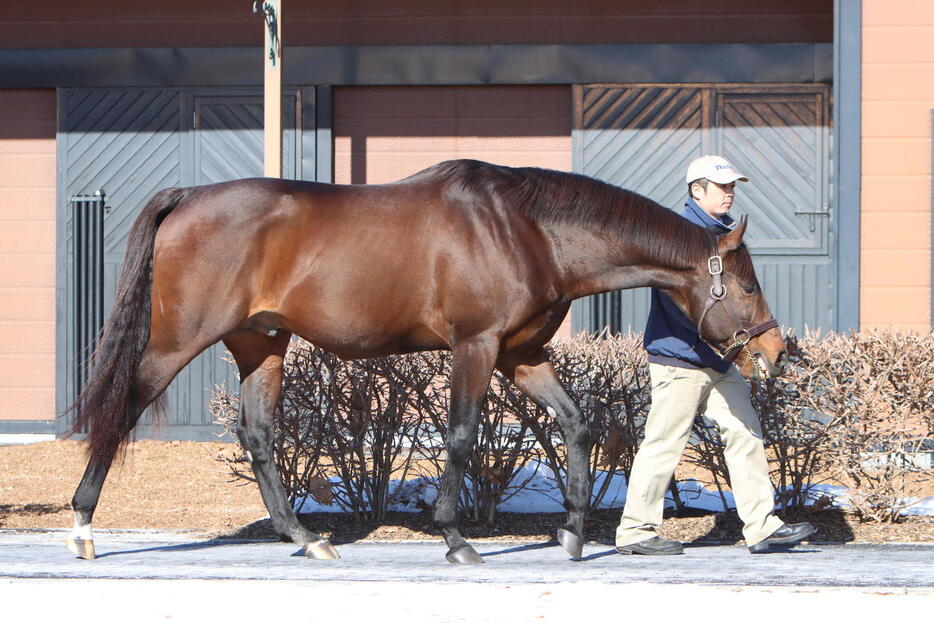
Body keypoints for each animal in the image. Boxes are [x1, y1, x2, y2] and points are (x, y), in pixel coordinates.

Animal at [66, 160, 788, 564]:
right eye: (749, 285)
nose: (774, 351)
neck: (528, 229)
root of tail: (187, 197)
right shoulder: (477, 346)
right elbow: (463, 435)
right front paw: (455, 537)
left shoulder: (521, 355)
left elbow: (577, 424)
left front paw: (573, 533)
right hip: (175, 342)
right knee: (121, 410)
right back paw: (81, 525)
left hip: (261, 344)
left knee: (261, 435)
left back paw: (305, 535)